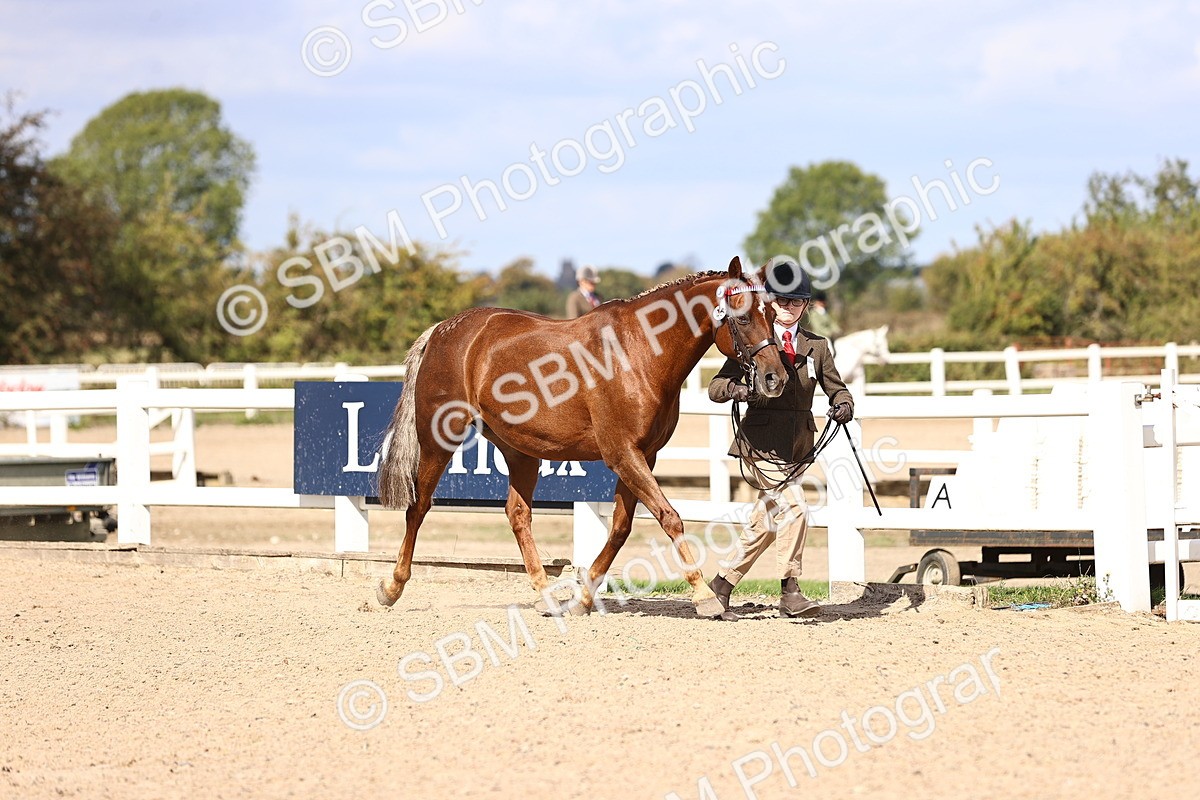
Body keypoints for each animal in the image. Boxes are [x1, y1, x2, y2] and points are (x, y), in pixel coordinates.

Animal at [375, 256, 787, 618]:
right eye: (744, 316)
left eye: (772, 314)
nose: (775, 378)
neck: (639, 352)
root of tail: (443, 330)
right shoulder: (623, 454)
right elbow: (670, 517)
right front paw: (704, 597)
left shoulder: (643, 456)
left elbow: (621, 528)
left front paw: (583, 599)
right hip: (438, 440)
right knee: (419, 506)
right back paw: (391, 588)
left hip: (520, 450)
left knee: (518, 514)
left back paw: (546, 596)